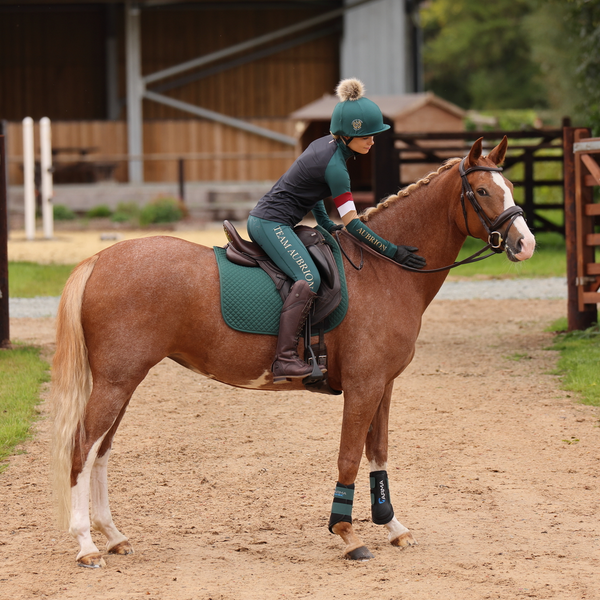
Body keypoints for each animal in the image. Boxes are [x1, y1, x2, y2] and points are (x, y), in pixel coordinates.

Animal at [50, 137, 536, 568]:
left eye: (510, 187)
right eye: (482, 191)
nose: (525, 243)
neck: (385, 271)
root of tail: (99, 259)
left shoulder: (383, 385)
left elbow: (377, 451)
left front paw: (392, 526)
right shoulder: (363, 386)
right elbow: (349, 456)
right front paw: (348, 535)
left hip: (124, 382)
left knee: (101, 451)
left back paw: (113, 536)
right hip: (117, 381)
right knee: (82, 448)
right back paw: (86, 545)